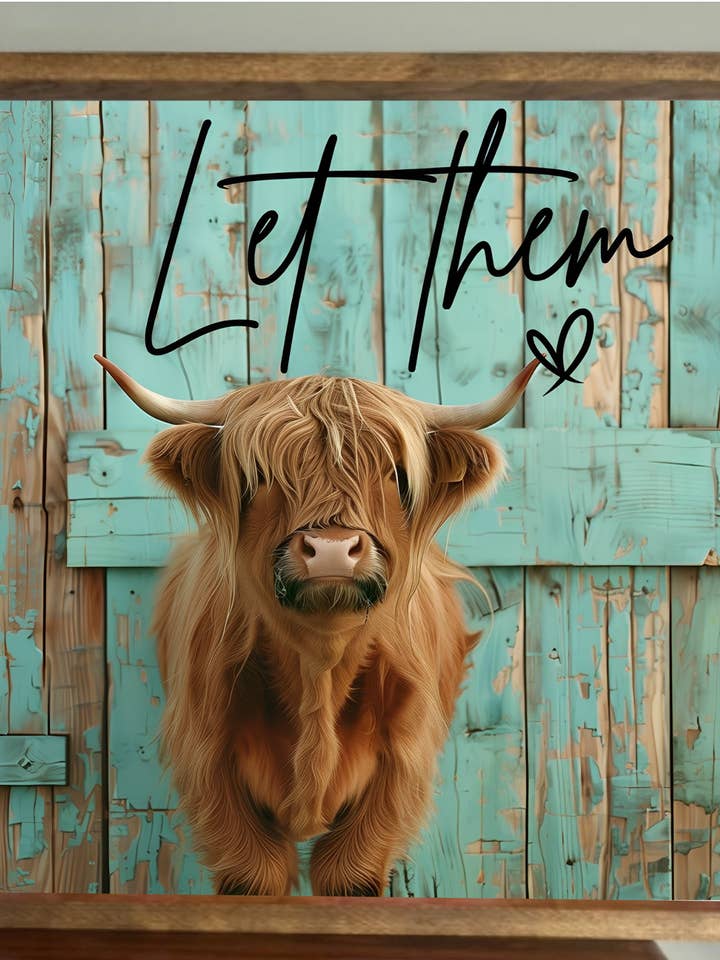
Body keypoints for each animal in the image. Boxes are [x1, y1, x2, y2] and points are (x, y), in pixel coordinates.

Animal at [95, 354, 539, 897]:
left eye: (396, 475)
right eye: (259, 475)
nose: (331, 550)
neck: (319, 668)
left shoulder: (402, 765)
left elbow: (349, 874)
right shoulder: (207, 759)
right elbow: (254, 874)